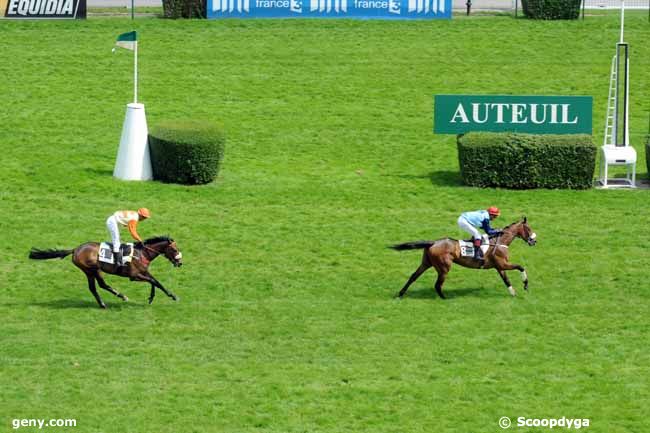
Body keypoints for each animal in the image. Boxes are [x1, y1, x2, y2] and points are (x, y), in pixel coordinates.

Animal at [29, 236, 182, 308]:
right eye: (174, 249)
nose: (180, 262)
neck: (142, 253)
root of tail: (75, 249)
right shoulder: (134, 276)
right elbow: (153, 281)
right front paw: (167, 296)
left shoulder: (144, 272)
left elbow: (156, 282)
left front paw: (166, 296)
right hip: (92, 269)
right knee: (100, 285)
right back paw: (114, 299)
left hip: (90, 271)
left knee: (95, 287)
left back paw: (109, 301)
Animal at [392, 218, 536, 298]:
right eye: (528, 228)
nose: (534, 241)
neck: (500, 241)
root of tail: (433, 243)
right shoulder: (502, 264)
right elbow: (521, 267)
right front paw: (525, 285)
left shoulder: (499, 267)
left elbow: (506, 280)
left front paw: (513, 293)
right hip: (444, 268)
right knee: (437, 285)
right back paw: (445, 298)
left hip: (426, 263)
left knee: (413, 276)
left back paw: (400, 294)